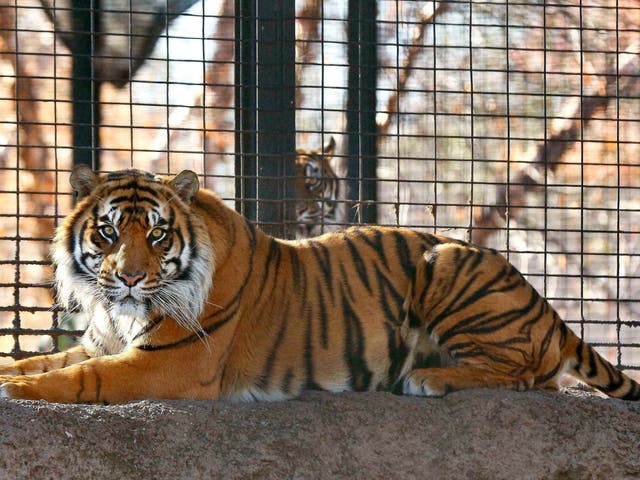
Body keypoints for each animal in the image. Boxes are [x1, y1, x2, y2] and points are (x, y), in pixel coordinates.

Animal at [0, 167, 636, 404]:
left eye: (157, 236)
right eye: (108, 231)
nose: (130, 277)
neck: (121, 311)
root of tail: (550, 312)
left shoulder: (170, 363)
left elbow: (80, 379)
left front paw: (19, 391)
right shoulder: (103, 339)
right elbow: (45, 361)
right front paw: (13, 373)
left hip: (448, 260)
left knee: (527, 375)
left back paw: (428, 378)